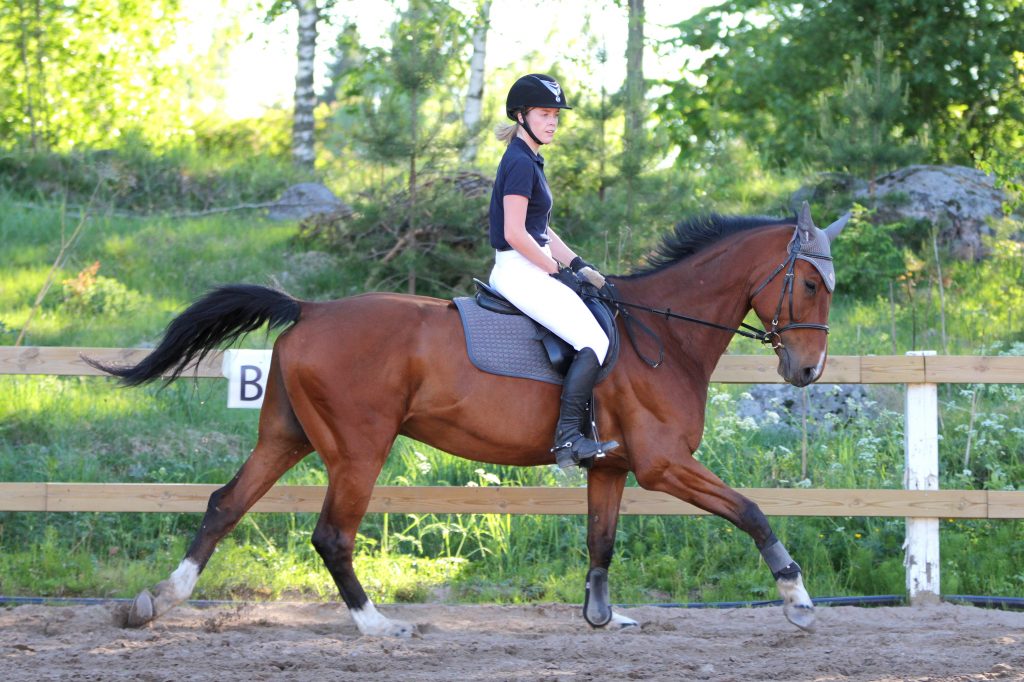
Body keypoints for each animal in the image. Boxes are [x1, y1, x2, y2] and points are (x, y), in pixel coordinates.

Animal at [87, 203, 848, 637]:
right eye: (811, 283)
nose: (807, 371)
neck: (662, 334)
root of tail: (311, 309)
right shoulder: (664, 465)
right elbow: (752, 511)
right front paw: (797, 597)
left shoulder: (613, 465)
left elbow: (601, 543)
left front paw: (602, 616)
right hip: (358, 450)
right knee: (332, 534)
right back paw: (376, 625)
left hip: (286, 435)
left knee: (225, 503)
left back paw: (156, 602)